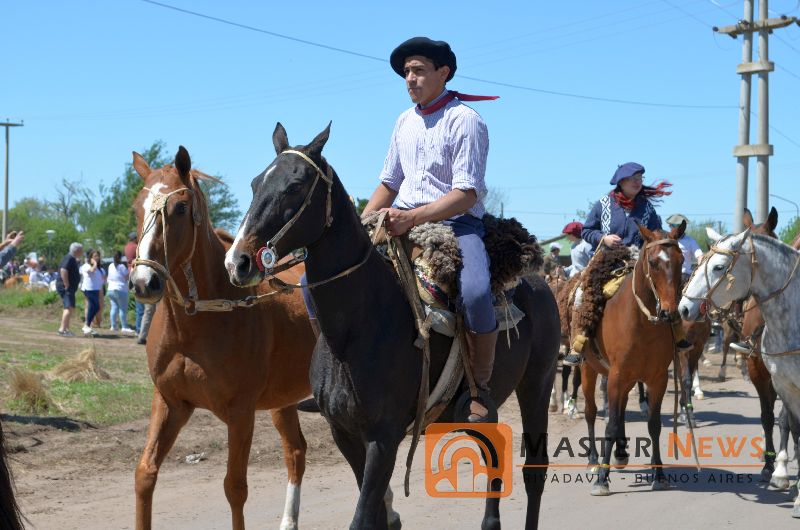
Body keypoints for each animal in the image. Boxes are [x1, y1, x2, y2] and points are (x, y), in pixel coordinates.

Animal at [129, 147, 316, 530]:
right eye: (137, 207)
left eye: (179, 208)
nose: (143, 283)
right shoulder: (170, 403)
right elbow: (145, 474)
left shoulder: (240, 413)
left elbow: (235, 487)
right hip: (283, 401)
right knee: (296, 452)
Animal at [225, 123, 561, 530]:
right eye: (256, 183)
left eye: (295, 185)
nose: (238, 261)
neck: (356, 332)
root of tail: (539, 282)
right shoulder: (345, 434)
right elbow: (377, 517)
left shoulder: (383, 439)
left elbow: (363, 516)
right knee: (493, 452)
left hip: (537, 385)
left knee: (534, 471)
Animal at [571, 222, 687, 495]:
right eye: (653, 262)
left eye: (681, 259)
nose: (669, 312)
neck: (641, 322)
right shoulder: (617, 375)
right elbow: (610, 424)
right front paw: (602, 480)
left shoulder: (656, 379)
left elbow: (653, 424)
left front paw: (659, 475)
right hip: (590, 370)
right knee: (591, 412)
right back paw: (594, 461)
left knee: (621, 408)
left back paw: (621, 454)